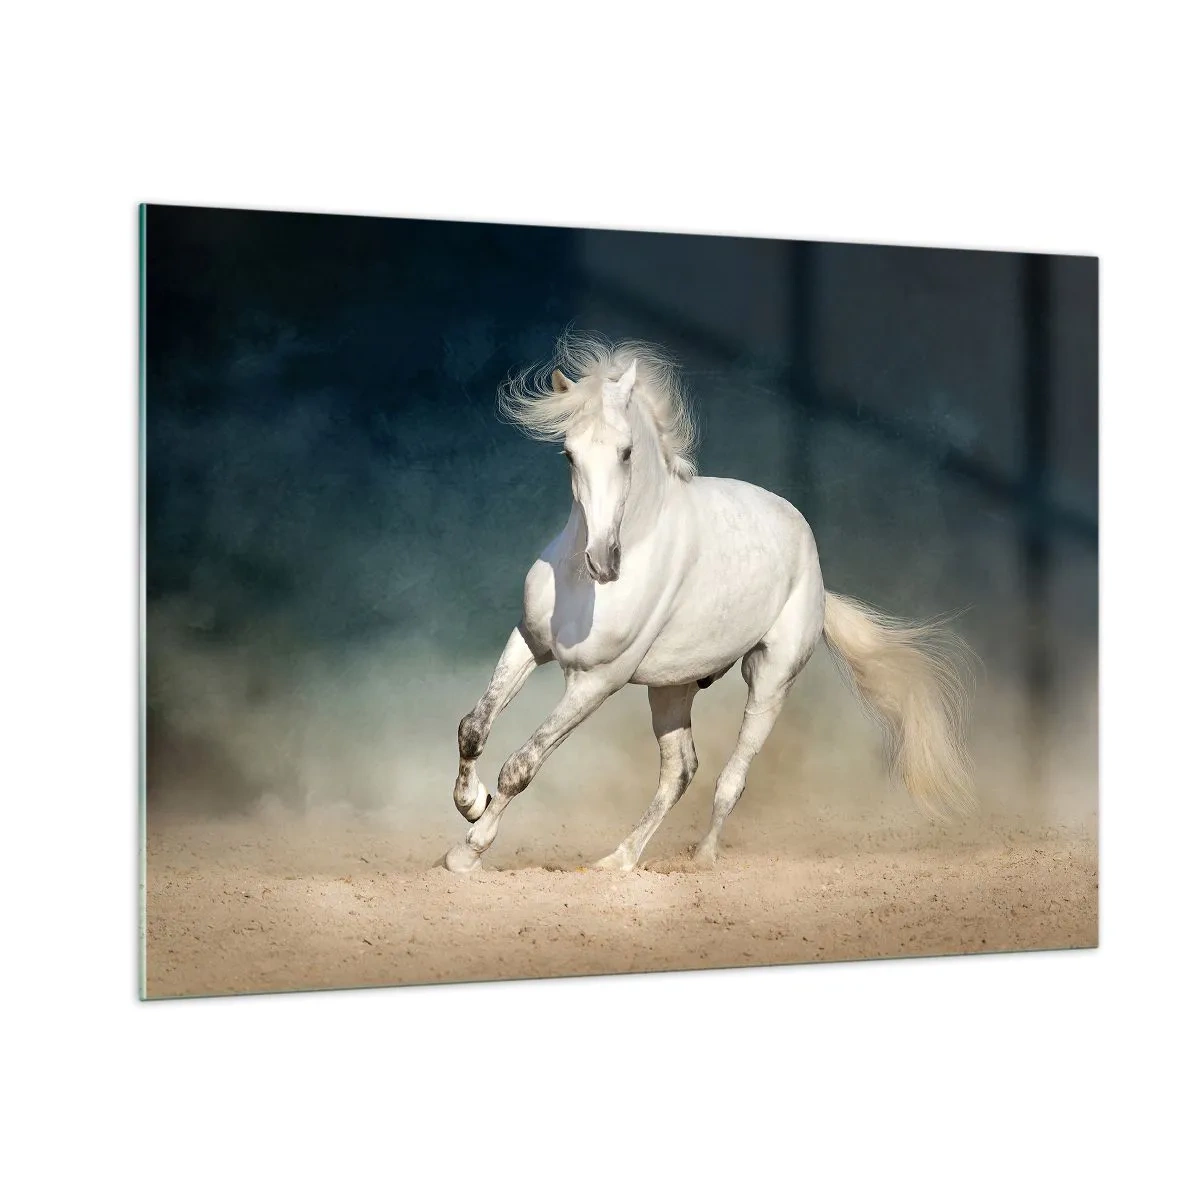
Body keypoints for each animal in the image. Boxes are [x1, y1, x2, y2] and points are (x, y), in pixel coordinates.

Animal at [445, 334, 974, 873]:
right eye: (569, 455)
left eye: (627, 452)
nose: (602, 562)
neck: (583, 583)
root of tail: (816, 572)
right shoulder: (530, 642)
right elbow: (473, 727)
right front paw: (471, 803)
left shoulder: (595, 682)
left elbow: (522, 765)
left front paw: (467, 852)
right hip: (671, 687)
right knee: (680, 769)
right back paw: (617, 861)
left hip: (770, 679)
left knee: (730, 778)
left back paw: (700, 859)